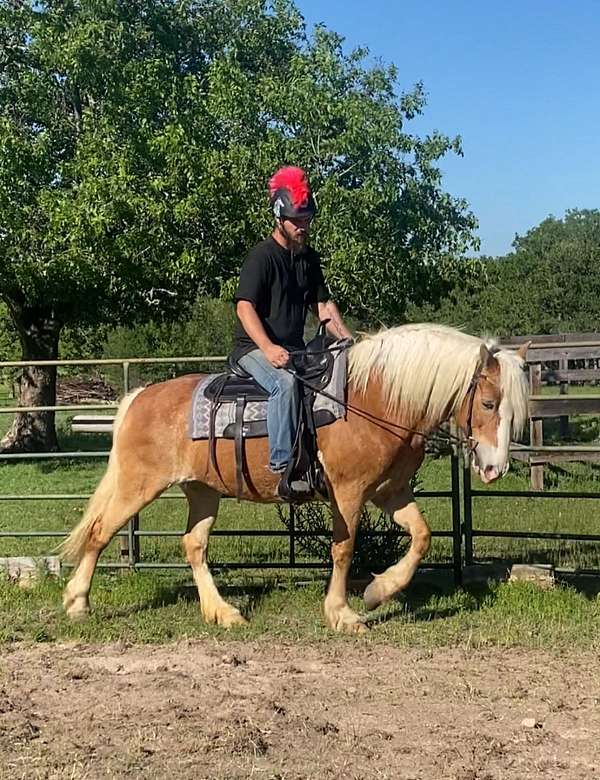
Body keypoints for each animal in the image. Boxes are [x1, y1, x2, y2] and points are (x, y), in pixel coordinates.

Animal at [62, 322, 528, 632]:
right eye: (488, 403)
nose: (494, 469)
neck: (372, 400)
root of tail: (141, 396)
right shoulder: (348, 493)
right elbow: (343, 549)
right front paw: (342, 612)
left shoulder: (389, 492)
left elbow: (422, 536)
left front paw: (378, 592)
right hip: (138, 485)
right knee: (100, 532)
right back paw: (77, 603)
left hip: (202, 491)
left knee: (193, 545)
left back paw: (223, 612)